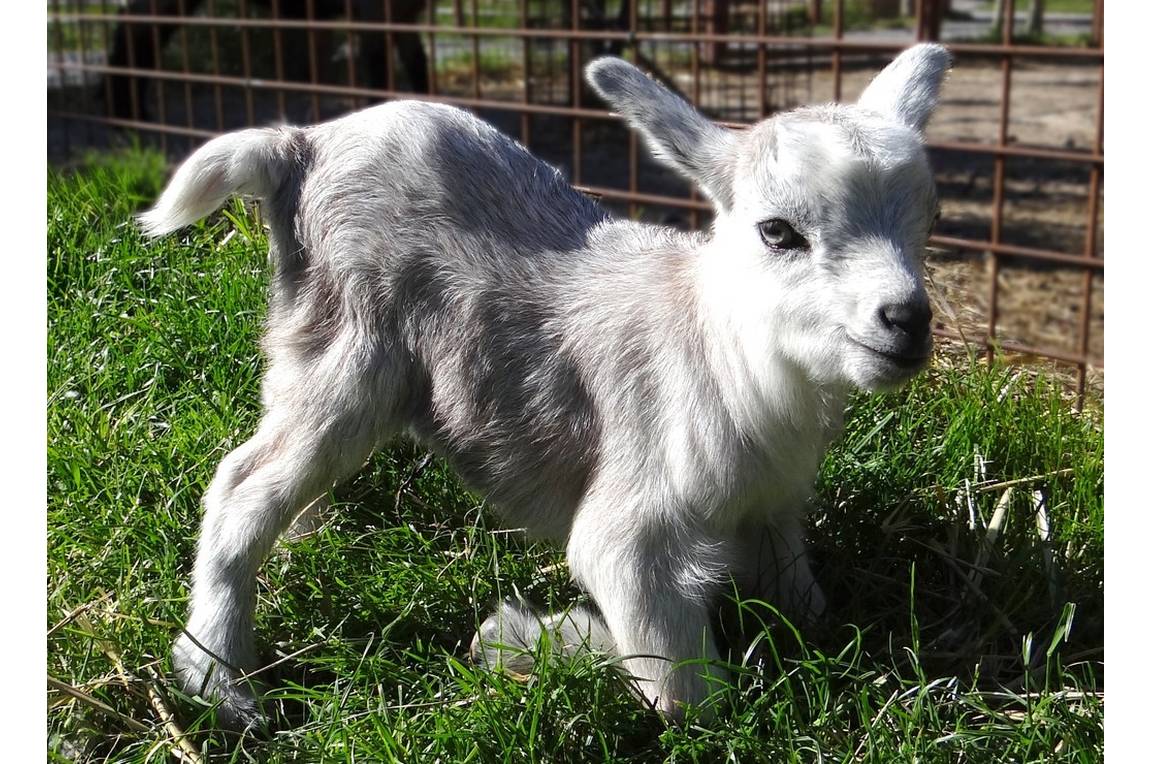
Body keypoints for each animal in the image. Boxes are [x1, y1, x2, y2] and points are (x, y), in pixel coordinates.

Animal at [141, 43, 953, 728]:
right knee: (241, 484)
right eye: (777, 231)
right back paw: (218, 679)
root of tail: (298, 146)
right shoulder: (630, 536)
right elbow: (689, 696)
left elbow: (810, 615)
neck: (722, 352)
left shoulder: (773, 513)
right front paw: (527, 639)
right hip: (349, 354)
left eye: (928, 217)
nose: (906, 321)